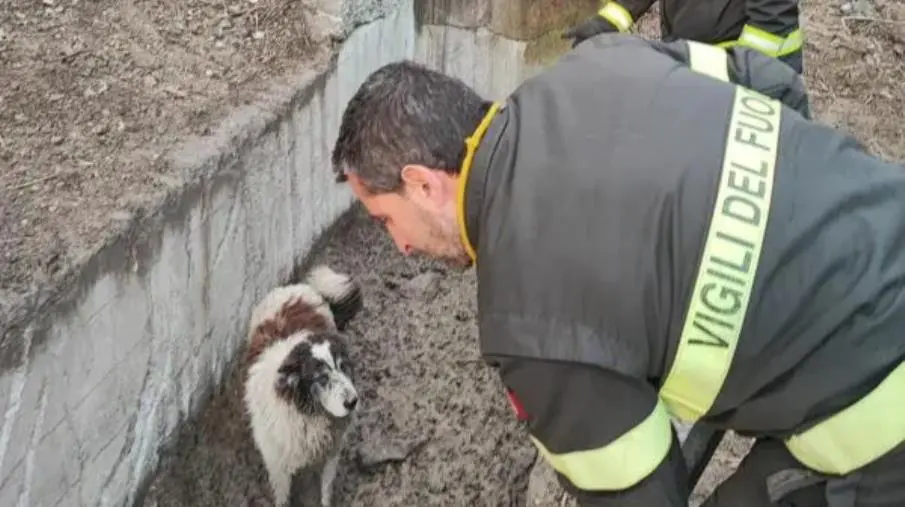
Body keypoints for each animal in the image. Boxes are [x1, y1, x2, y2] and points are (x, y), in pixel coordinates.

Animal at [245, 266, 366, 507]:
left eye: (343, 367)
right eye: (321, 378)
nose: (353, 402)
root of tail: (294, 288)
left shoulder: (330, 454)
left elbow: (325, 491)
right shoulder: (277, 466)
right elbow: (283, 498)